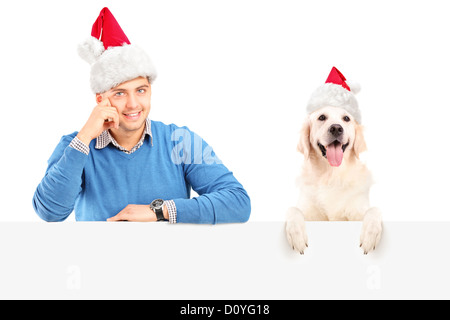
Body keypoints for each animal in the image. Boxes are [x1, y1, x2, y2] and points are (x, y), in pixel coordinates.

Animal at [286, 67, 382, 255]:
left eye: (346, 118)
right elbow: (292, 210)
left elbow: (375, 210)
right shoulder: (309, 213)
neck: (331, 175)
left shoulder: (357, 211)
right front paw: (296, 235)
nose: (336, 128)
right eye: (322, 117)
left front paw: (370, 235)